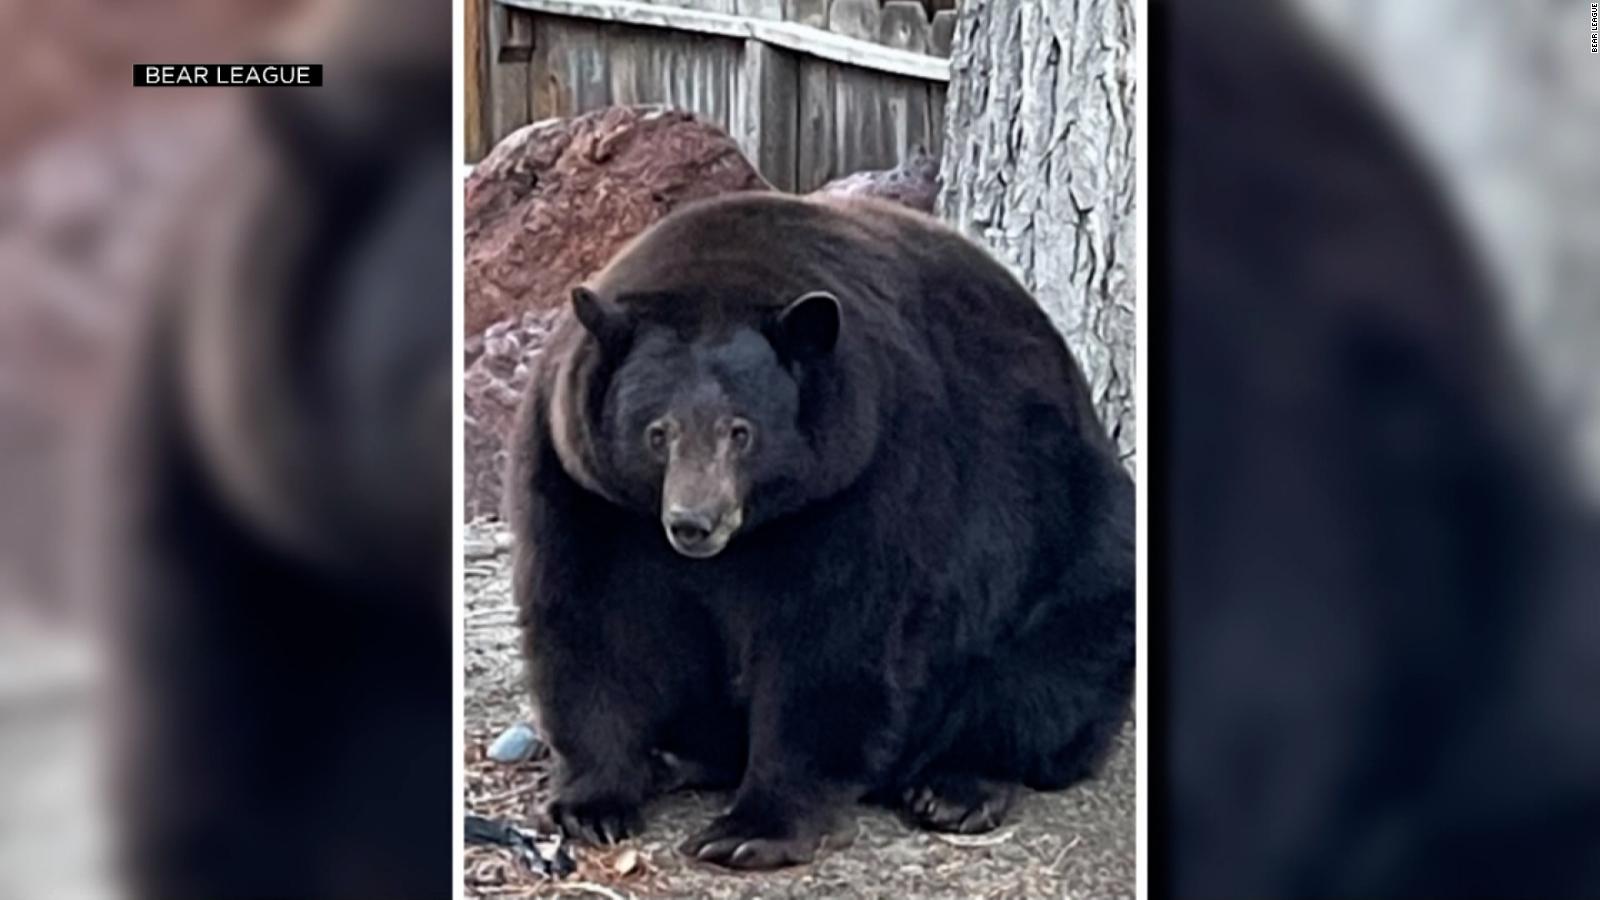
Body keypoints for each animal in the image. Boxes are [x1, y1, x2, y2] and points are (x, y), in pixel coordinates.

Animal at [512, 190, 1139, 871]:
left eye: (741, 431)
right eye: (658, 432)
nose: (693, 523)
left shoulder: (867, 474)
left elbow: (832, 639)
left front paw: (749, 829)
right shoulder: (583, 486)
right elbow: (593, 620)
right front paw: (593, 804)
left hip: (1071, 538)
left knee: (1050, 668)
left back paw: (956, 787)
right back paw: (677, 757)